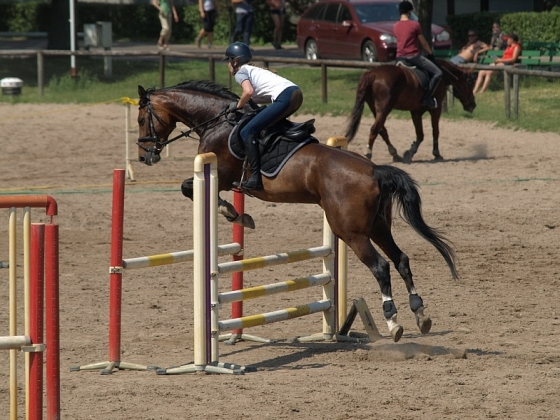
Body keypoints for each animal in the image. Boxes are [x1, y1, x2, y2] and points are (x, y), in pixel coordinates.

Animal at [137, 81, 460, 342]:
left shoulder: (222, 175)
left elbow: (189, 188)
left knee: (381, 266)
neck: (217, 121)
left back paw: (393, 322)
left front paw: (234, 213)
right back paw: (420, 315)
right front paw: (239, 214)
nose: (144, 156)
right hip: (378, 227)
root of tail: (374, 170)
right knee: (401, 259)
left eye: (141, 119)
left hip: (352, 232)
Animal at [346, 59, 476, 162]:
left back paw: (394, 153)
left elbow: (420, 134)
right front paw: (436, 154)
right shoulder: (436, 109)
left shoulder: (416, 112)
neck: (443, 76)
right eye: (470, 83)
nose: (473, 105)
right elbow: (435, 131)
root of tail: (371, 74)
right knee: (375, 129)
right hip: (384, 109)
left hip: (375, 108)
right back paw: (368, 153)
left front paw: (410, 152)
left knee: (381, 130)